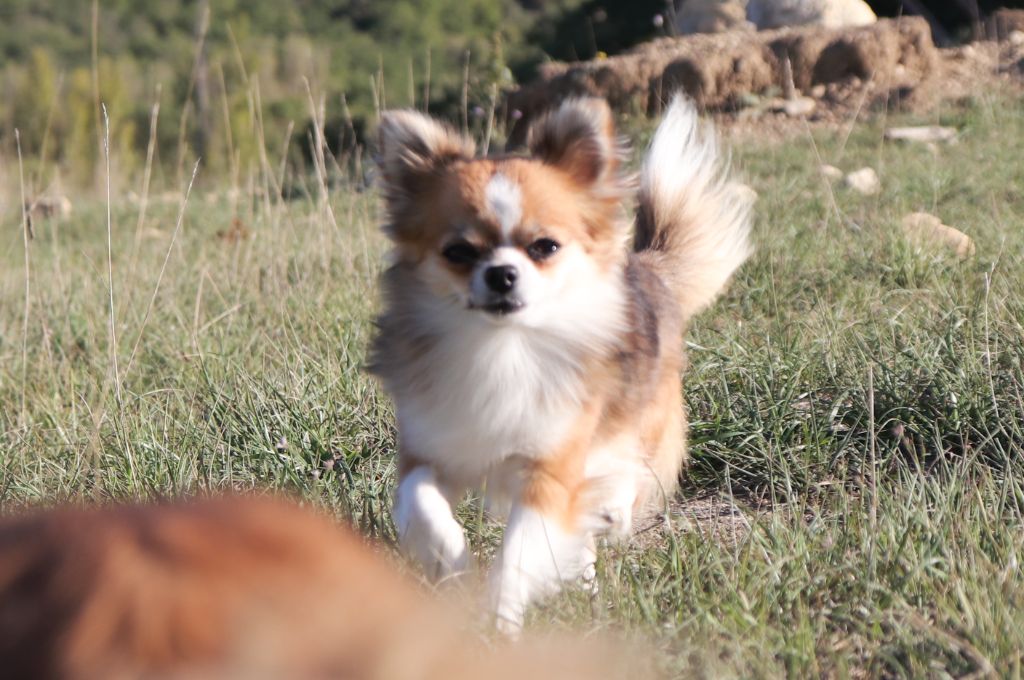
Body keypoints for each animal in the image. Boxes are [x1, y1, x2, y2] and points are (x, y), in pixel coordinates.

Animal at [370, 93, 753, 630]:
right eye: (458, 252)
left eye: (544, 247)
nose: (502, 274)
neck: (504, 346)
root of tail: (647, 267)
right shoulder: (429, 446)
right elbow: (418, 501)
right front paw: (450, 561)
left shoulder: (551, 468)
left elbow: (518, 552)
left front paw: (499, 620)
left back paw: (609, 516)